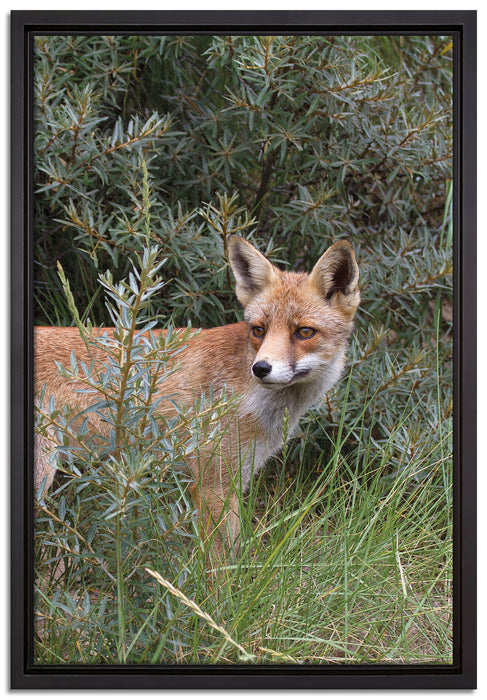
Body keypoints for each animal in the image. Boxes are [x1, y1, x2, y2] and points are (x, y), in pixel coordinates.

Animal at [34, 236, 359, 557]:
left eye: (304, 332)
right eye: (259, 330)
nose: (261, 368)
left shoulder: (235, 479)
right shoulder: (212, 483)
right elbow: (218, 564)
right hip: (42, 476)